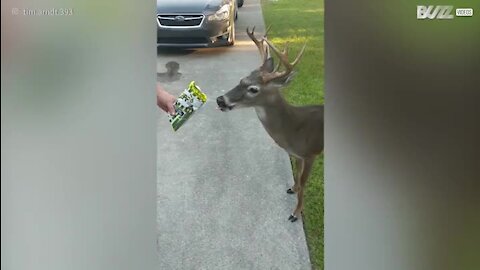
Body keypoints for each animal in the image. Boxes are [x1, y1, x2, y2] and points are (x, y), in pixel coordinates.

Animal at [217, 26, 322, 223]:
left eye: (253, 89)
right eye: (241, 79)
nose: (220, 100)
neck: (294, 129)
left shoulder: (310, 154)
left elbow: (304, 183)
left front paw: (295, 213)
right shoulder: (296, 154)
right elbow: (297, 177)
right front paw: (292, 189)